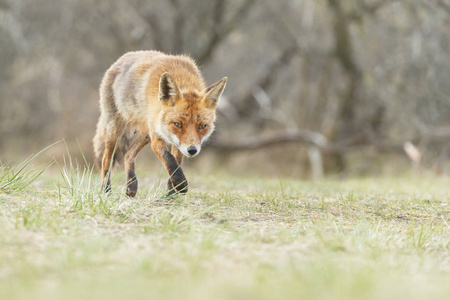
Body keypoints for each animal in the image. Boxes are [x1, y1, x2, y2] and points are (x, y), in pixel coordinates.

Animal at [95, 51, 229, 197]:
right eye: (177, 124)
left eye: (203, 126)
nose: (192, 150)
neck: (182, 78)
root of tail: (121, 59)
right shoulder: (157, 137)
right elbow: (169, 159)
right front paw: (181, 185)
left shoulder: (177, 143)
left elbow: (176, 163)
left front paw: (171, 194)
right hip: (115, 130)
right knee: (105, 160)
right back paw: (105, 190)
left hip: (145, 134)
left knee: (128, 154)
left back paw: (131, 186)